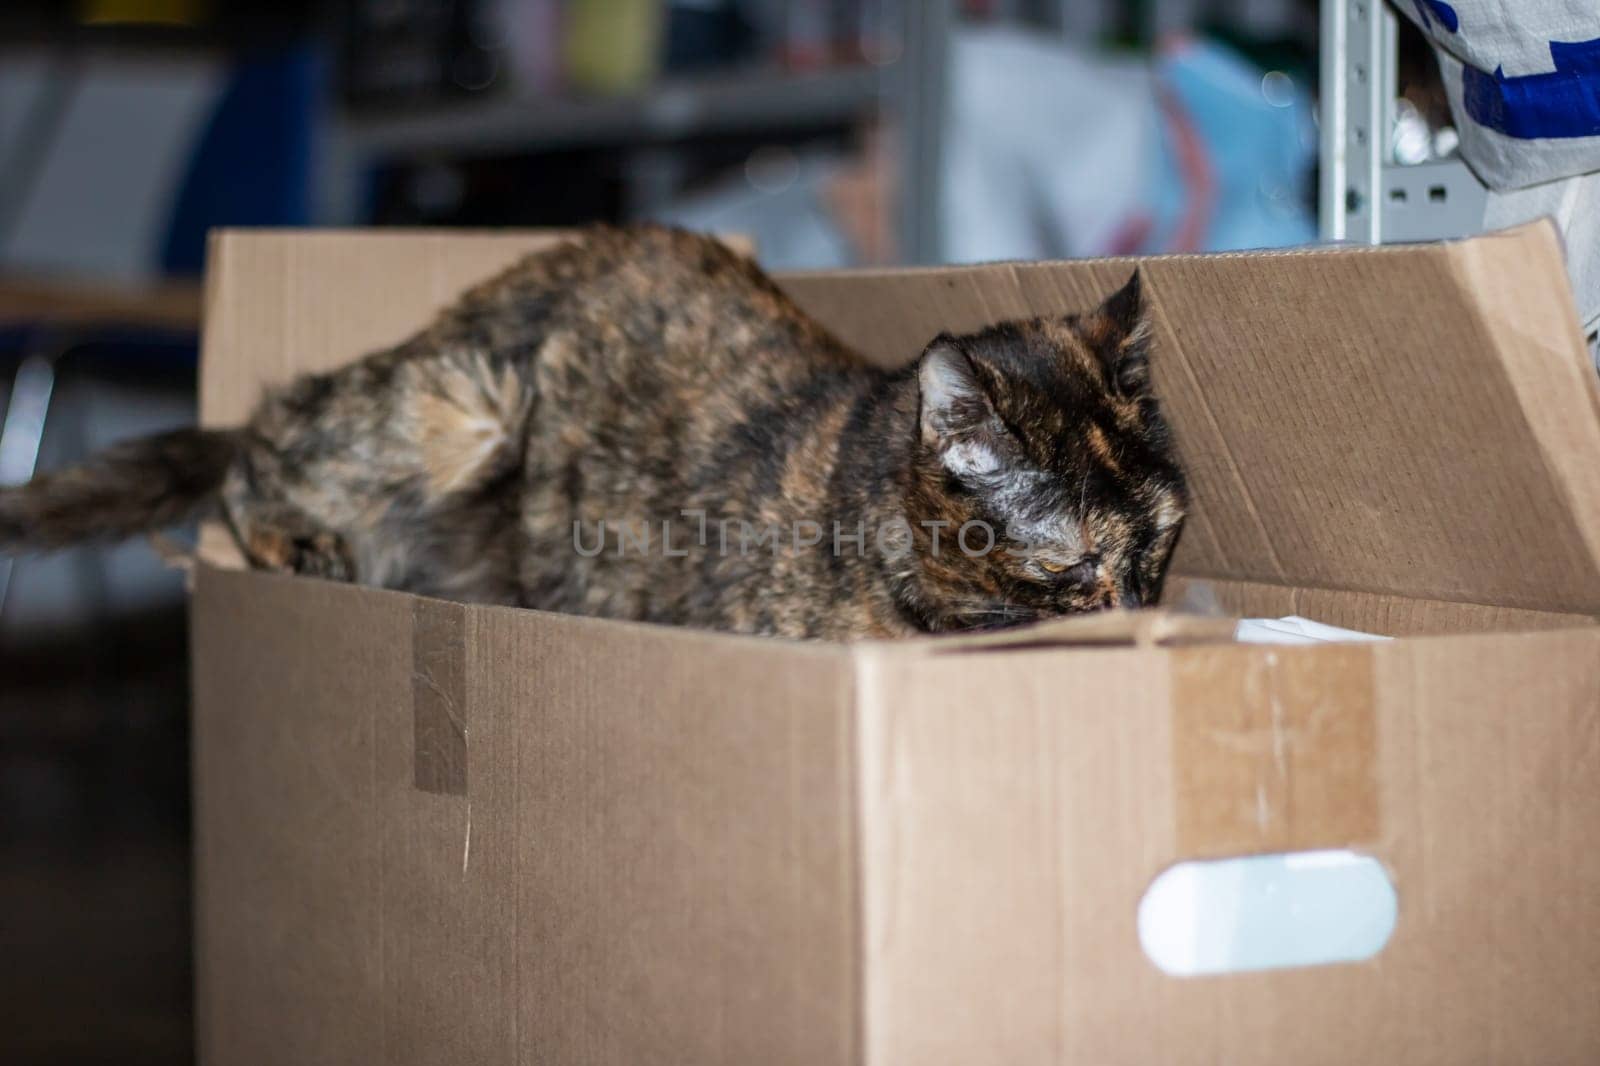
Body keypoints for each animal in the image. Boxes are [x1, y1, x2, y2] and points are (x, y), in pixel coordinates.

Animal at [0, 225, 1177, 640]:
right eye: (1074, 569)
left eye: (1158, 547)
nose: (1138, 616)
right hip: (460, 406)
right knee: (255, 455)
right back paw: (306, 547)